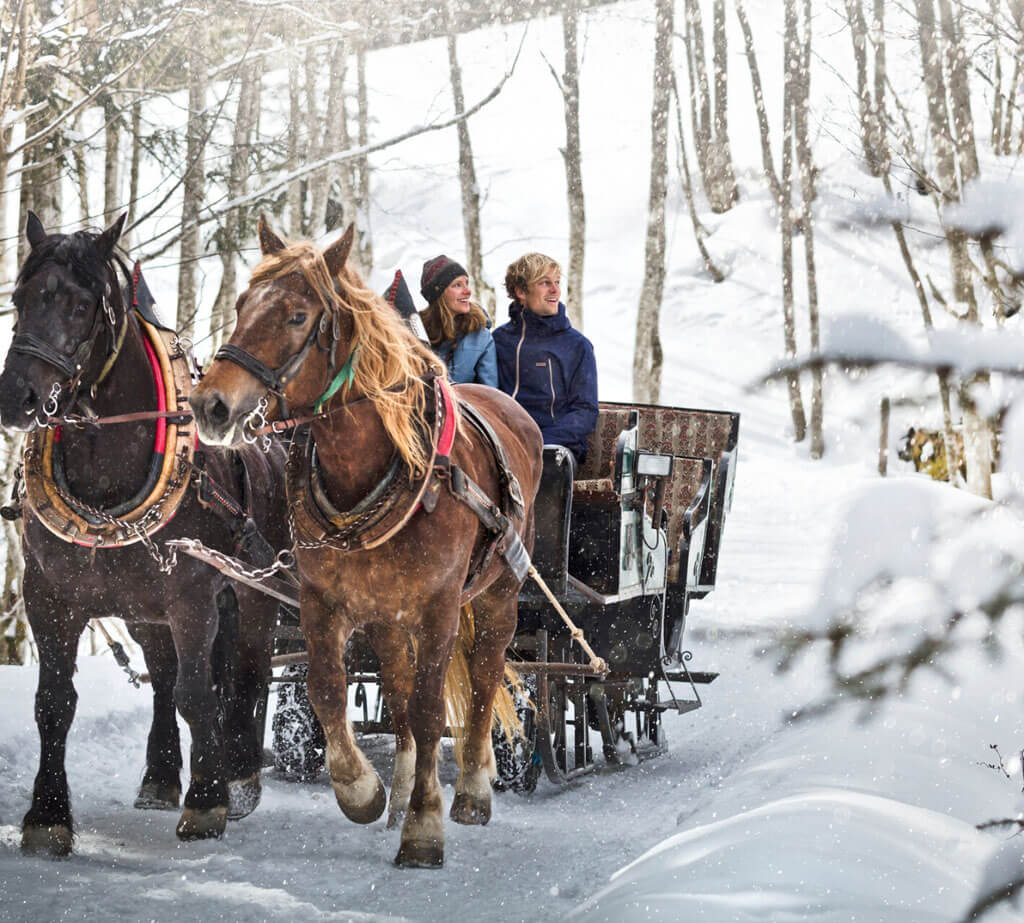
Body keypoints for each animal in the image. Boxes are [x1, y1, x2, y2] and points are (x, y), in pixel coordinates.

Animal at [1, 212, 288, 852]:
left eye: (82, 305)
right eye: (19, 298)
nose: (15, 398)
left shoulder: (193, 595)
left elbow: (198, 693)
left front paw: (208, 802)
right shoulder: (49, 594)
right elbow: (53, 702)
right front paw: (47, 815)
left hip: (254, 591)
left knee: (247, 670)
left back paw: (241, 777)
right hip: (142, 608)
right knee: (161, 676)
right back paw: (159, 777)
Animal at [192, 216, 544, 864]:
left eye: (297, 316)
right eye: (243, 304)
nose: (210, 404)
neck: (373, 468)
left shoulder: (438, 606)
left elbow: (432, 711)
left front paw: (425, 826)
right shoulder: (322, 600)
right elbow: (329, 689)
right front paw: (363, 790)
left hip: (497, 592)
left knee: (484, 677)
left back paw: (473, 789)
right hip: (387, 615)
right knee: (399, 692)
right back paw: (403, 787)